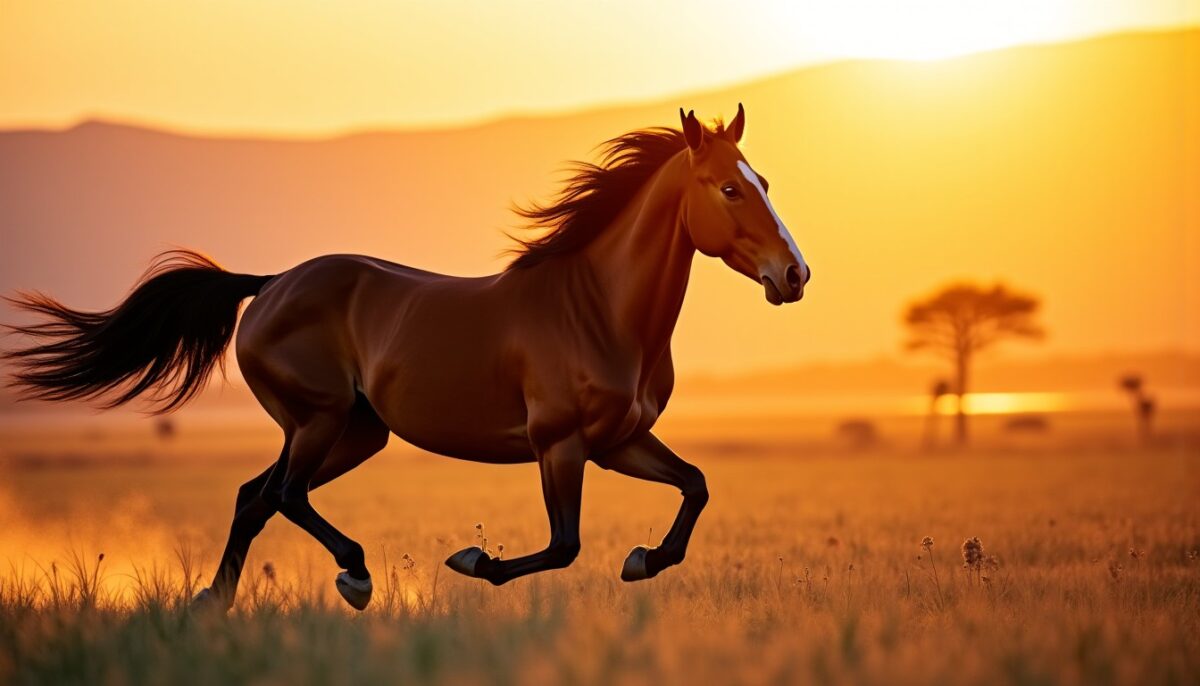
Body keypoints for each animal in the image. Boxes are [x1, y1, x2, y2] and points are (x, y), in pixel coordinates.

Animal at [3, 105, 811, 612]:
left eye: (766, 182)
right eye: (730, 187)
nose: (794, 275)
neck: (599, 310)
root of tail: (270, 283)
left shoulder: (620, 442)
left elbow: (695, 486)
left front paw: (642, 560)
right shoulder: (561, 445)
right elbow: (564, 545)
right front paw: (473, 561)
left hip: (351, 431)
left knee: (255, 496)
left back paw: (214, 603)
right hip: (320, 419)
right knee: (284, 495)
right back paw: (354, 577)